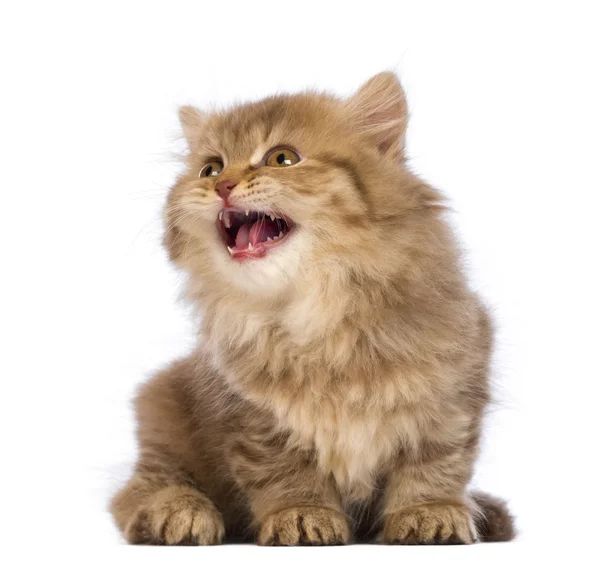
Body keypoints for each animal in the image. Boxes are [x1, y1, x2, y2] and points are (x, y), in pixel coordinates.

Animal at [111, 72, 516, 544]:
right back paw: (178, 515)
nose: (222, 185)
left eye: (282, 159)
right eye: (209, 168)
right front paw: (302, 516)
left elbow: (434, 466)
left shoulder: (451, 393)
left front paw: (431, 515)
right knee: (140, 490)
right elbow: (286, 475)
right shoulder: (254, 419)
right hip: (162, 414)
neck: (320, 311)